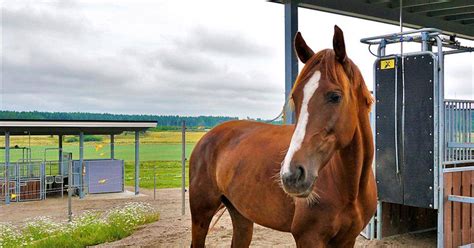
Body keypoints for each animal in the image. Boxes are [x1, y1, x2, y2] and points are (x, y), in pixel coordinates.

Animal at [191, 25, 376, 248]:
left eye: (335, 96)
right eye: (295, 97)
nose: (291, 175)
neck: (350, 188)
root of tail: (207, 137)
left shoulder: (348, 239)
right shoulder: (308, 238)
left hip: (241, 215)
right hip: (201, 215)